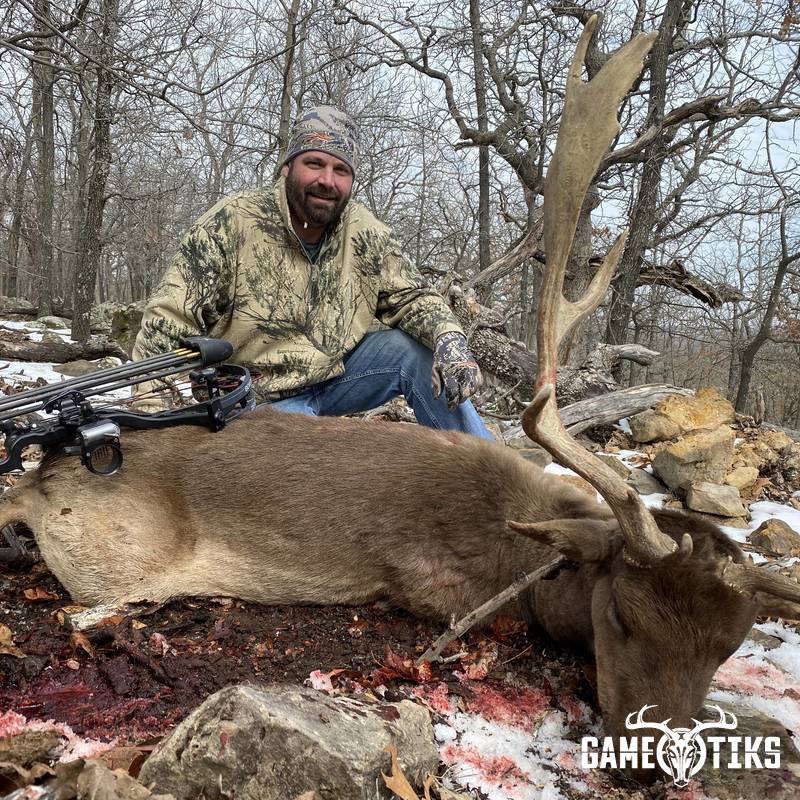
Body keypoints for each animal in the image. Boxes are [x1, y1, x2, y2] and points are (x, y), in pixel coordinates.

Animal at [0, 16, 798, 783]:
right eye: (624, 616)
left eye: (725, 649)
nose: (654, 765)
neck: (521, 540)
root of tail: (48, 471)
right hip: (115, 560)